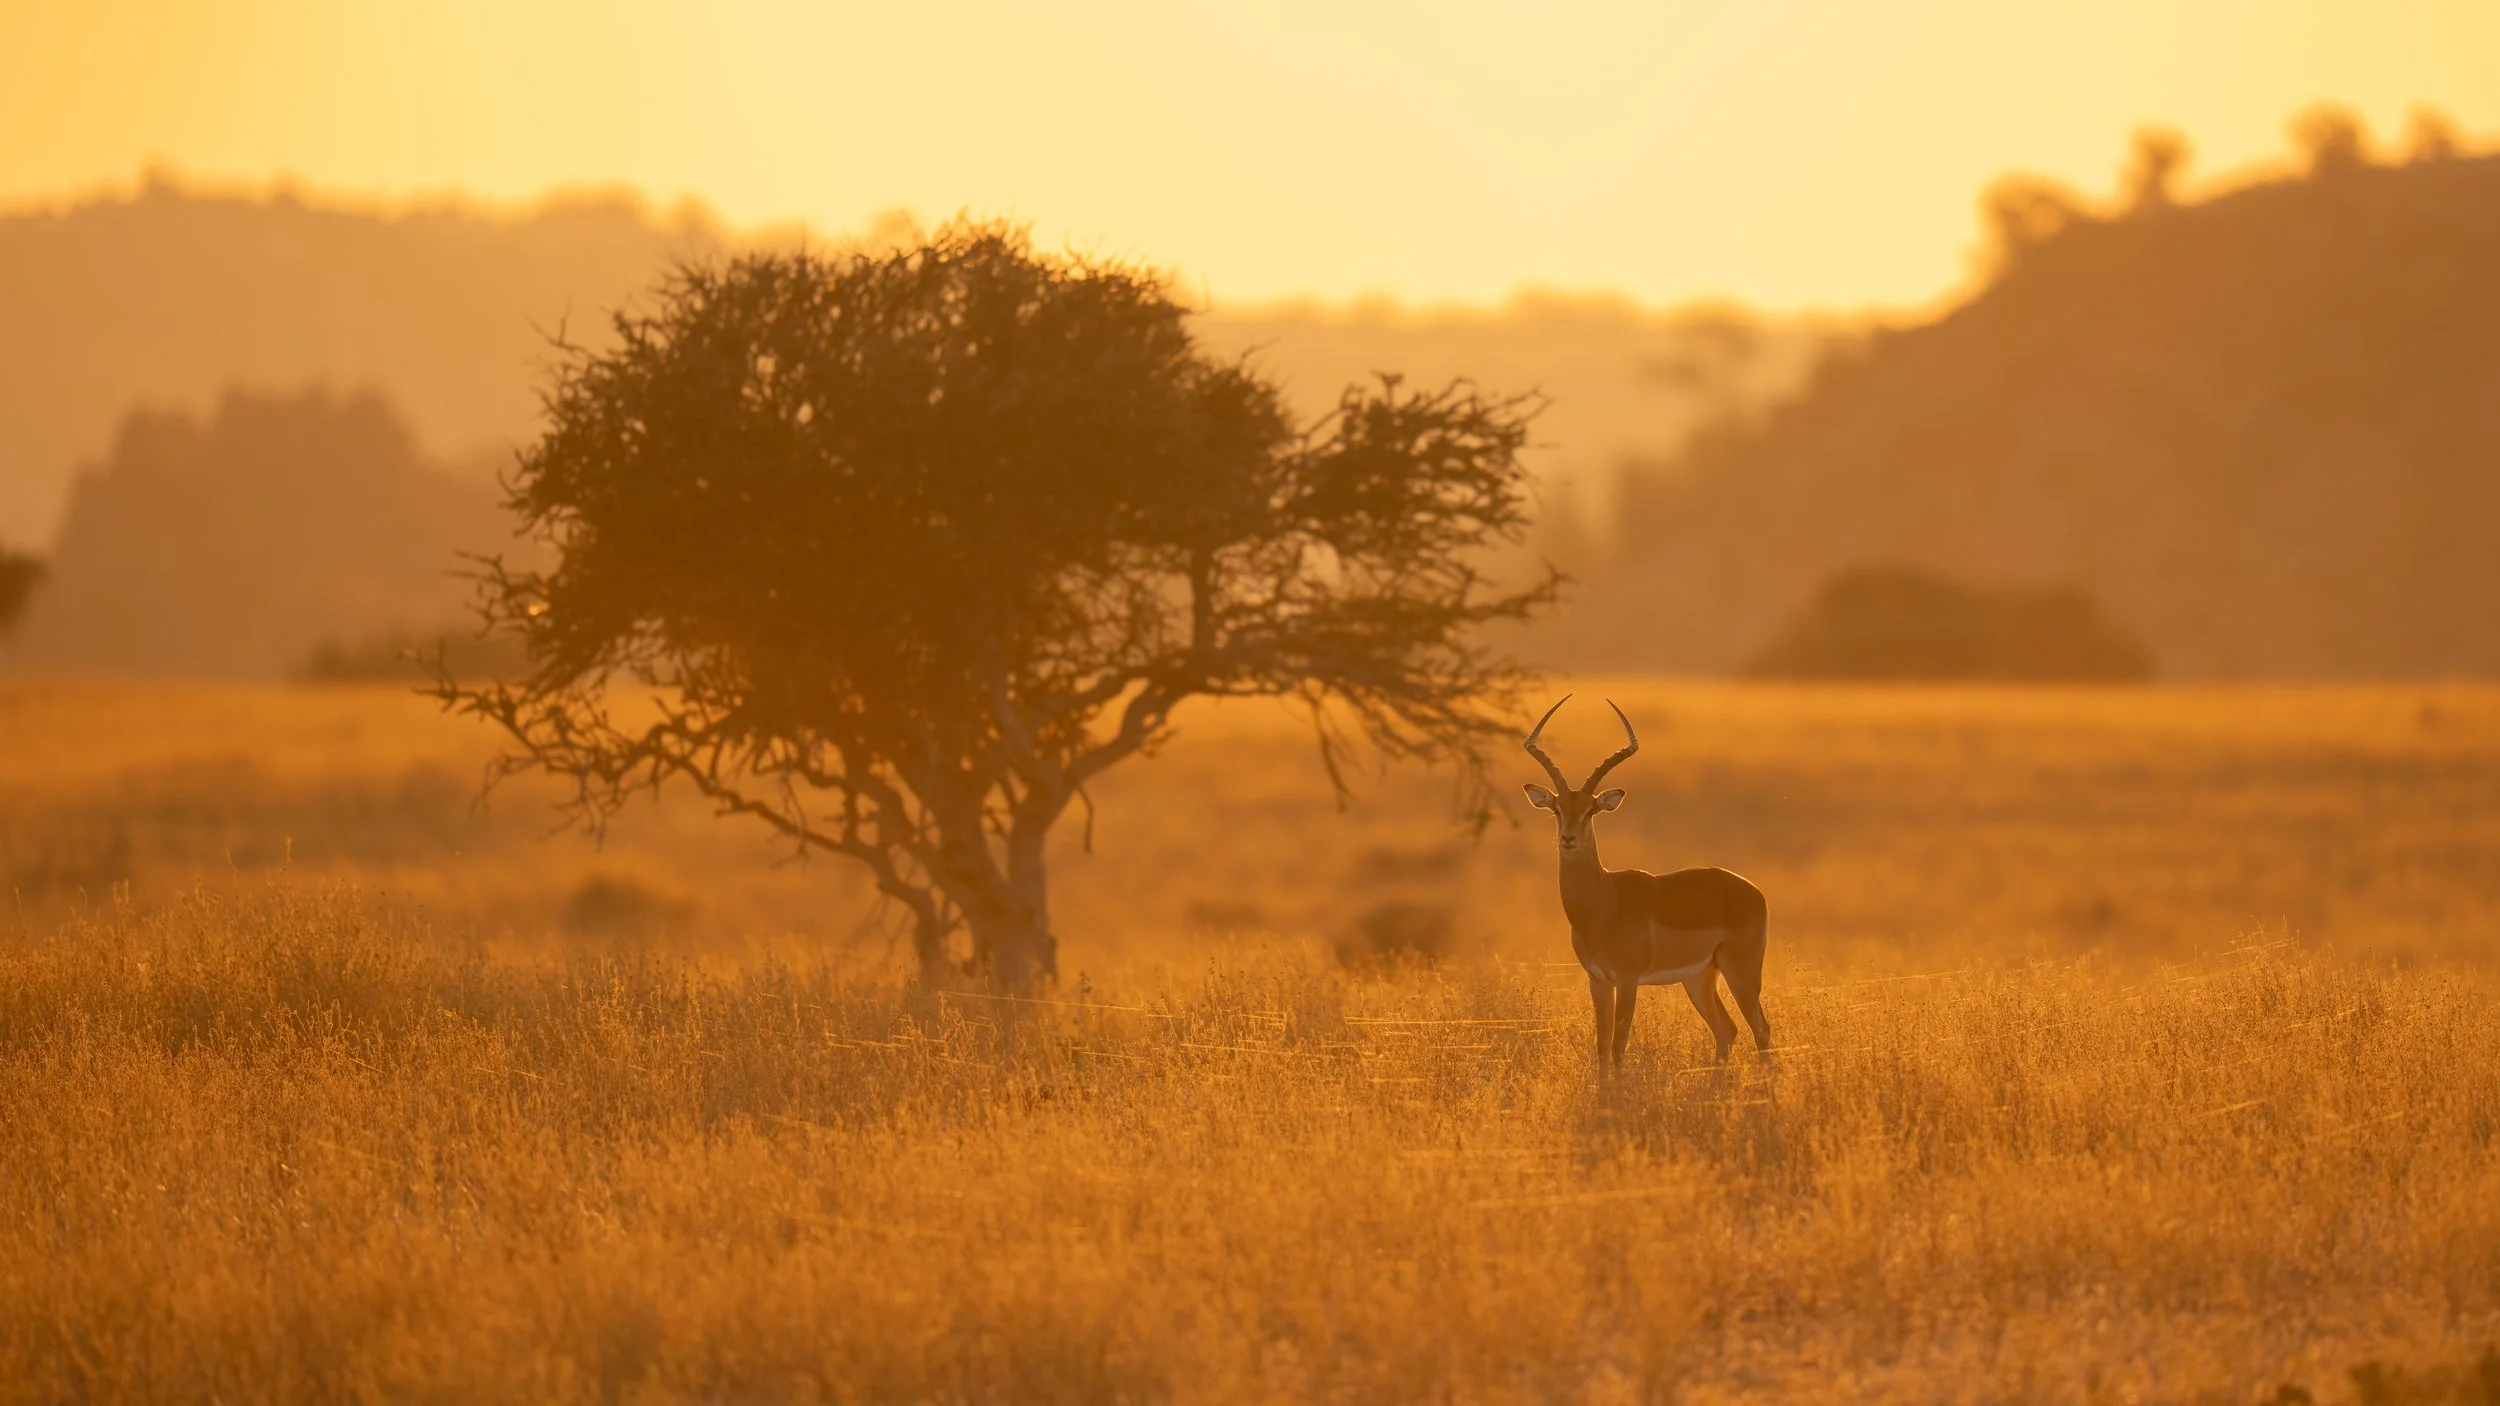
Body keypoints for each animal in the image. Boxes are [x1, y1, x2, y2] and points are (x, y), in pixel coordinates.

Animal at [1522, 696, 1770, 1075]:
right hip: (1699, 978)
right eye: (1557, 809)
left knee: (1761, 1029)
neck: (1604, 904)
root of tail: (1752, 890)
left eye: (1591, 810)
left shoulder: (1627, 980)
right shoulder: (1598, 980)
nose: (1568, 839)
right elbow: (1602, 1045)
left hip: (1741, 972)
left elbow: (1619, 1045)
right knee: (1727, 1029)